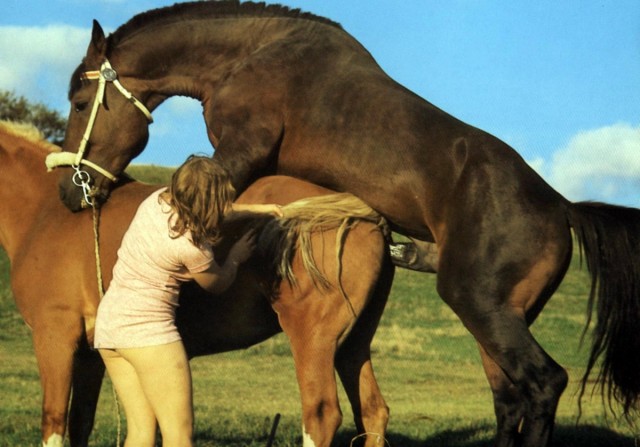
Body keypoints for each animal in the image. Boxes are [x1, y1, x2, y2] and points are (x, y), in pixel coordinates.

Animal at [0, 120, 392, 447]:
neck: (45, 213)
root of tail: (365, 215)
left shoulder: (55, 337)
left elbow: (53, 422)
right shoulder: (91, 354)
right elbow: (80, 423)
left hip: (314, 341)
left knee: (320, 416)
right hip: (352, 344)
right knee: (372, 412)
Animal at [51, 1, 640, 446]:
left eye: (79, 102)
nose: (70, 192)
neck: (250, 55)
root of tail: (560, 205)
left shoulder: (238, 153)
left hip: (480, 306)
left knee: (543, 385)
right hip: (497, 320)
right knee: (508, 400)